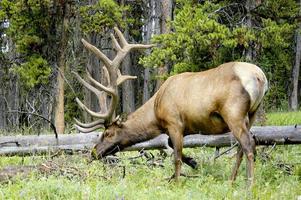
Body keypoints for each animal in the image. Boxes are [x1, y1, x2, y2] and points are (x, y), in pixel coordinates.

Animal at [72, 27, 268, 184]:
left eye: (107, 133)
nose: (94, 153)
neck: (155, 112)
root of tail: (260, 77)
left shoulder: (174, 123)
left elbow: (176, 157)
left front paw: (176, 182)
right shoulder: (181, 128)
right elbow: (171, 146)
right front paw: (194, 163)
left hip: (233, 113)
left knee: (248, 144)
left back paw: (249, 185)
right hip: (252, 114)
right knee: (244, 146)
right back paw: (231, 180)